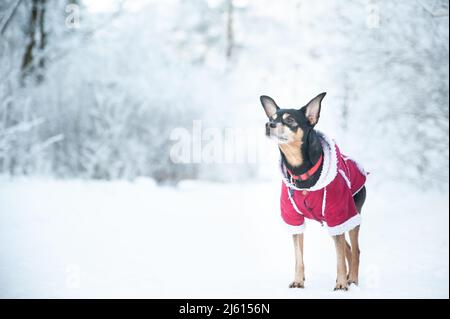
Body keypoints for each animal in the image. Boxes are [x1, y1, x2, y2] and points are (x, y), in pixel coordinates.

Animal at [260, 93, 370, 292]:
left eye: (290, 120)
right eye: (271, 118)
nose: (268, 125)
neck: (301, 171)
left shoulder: (338, 213)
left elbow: (339, 258)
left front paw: (341, 284)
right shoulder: (294, 218)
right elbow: (299, 256)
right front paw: (298, 281)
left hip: (350, 214)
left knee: (355, 249)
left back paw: (352, 279)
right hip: (332, 222)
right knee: (347, 249)